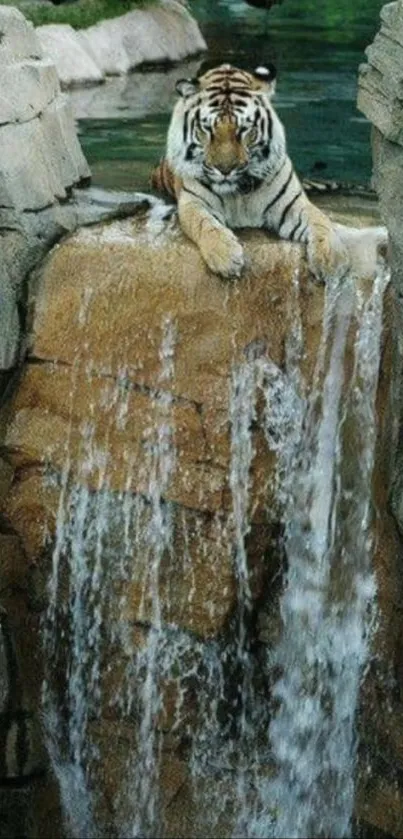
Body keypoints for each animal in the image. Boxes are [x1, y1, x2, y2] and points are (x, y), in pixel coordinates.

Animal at [152, 62, 388, 284]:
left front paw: (332, 259)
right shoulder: (194, 203)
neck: (239, 191)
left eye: (244, 130)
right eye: (207, 129)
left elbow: (320, 220)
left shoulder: (293, 205)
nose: (225, 170)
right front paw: (225, 256)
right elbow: (205, 225)